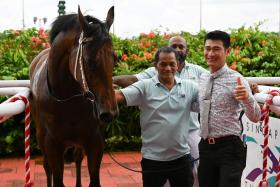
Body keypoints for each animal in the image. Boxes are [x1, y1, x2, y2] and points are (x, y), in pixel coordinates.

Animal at [29, 5, 118, 187]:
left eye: (115, 58)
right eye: (89, 60)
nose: (109, 113)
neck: (68, 100)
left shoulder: (95, 141)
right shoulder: (52, 144)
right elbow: (56, 177)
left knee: (77, 158)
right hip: (41, 136)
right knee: (47, 166)